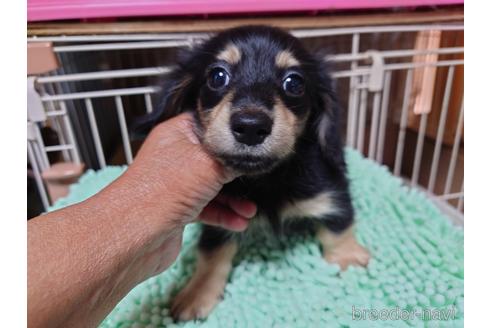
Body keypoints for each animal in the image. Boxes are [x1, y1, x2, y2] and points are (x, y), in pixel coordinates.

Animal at [134, 25, 368, 320]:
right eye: (217, 76)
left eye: (294, 83)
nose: (250, 127)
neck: (266, 180)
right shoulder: (219, 220)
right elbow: (212, 253)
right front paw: (197, 292)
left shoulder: (331, 194)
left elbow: (339, 227)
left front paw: (347, 258)